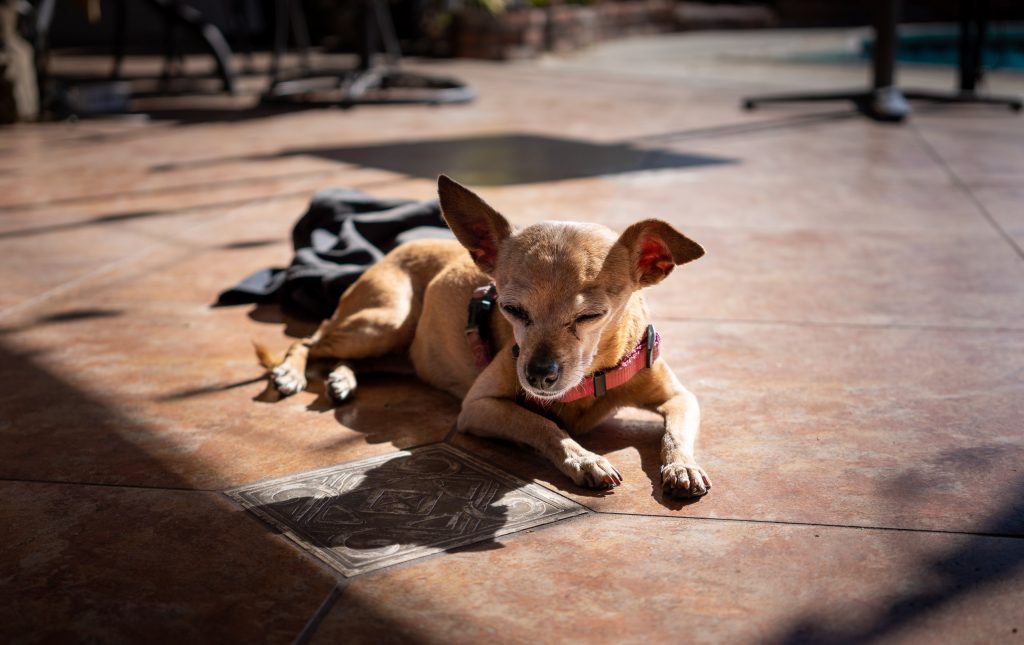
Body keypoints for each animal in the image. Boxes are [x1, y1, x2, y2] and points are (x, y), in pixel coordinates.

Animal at [258, 176, 712, 499]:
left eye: (591, 316)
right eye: (511, 310)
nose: (538, 374)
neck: (592, 376)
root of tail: (392, 251)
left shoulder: (680, 397)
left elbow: (674, 433)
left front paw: (682, 466)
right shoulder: (479, 408)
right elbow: (542, 425)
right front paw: (584, 460)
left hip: (393, 346)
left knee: (343, 356)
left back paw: (342, 378)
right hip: (384, 322)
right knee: (310, 340)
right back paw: (291, 374)